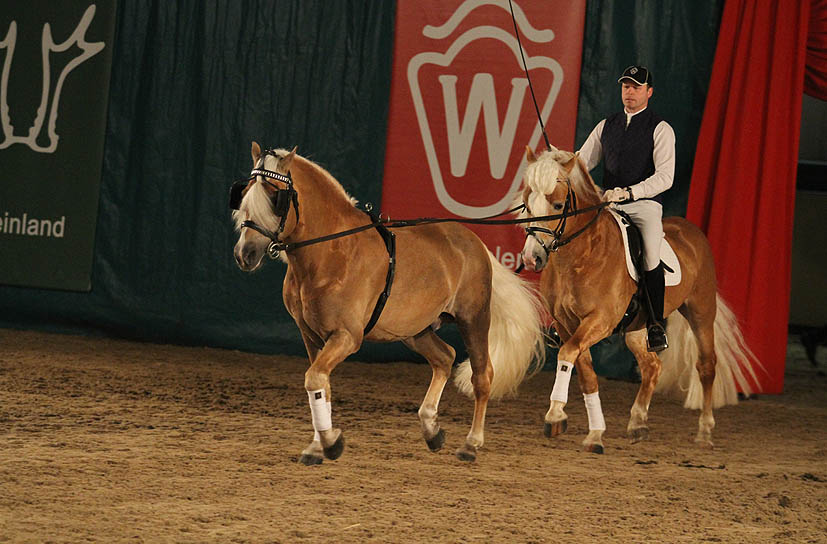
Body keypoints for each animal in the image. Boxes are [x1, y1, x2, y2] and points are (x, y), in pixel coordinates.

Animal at [230, 143, 548, 464]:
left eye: (274, 195)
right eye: (245, 192)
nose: (245, 253)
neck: (332, 252)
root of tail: (474, 242)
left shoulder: (347, 337)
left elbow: (315, 379)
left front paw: (330, 443)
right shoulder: (311, 336)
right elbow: (321, 384)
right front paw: (318, 445)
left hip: (474, 319)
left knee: (482, 376)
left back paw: (471, 444)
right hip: (415, 331)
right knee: (444, 357)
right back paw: (432, 430)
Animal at [520, 147, 760, 452]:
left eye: (558, 205)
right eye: (527, 204)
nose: (532, 258)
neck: (581, 257)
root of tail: (691, 231)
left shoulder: (600, 321)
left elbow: (567, 355)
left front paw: (554, 415)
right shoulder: (567, 324)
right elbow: (584, 372)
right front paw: (592, 431)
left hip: (701, 313)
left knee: (706, 366)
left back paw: (705, 432)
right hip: (638, 327)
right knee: (652, 366)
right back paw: (637, 423)